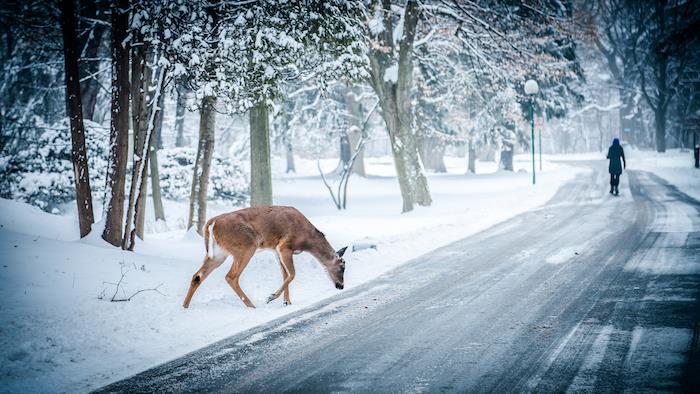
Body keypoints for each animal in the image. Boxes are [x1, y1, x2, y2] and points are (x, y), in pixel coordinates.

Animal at [182, 205, 348, 310]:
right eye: (342, 267)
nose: (341, 286)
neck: (307, 240)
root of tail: (212, 223)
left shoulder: (276, 250)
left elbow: (285, 275)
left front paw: (287, 302)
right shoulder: (284, 245)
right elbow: (292, 274)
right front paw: (271, 297)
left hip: (218, 254)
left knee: (197, 276)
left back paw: (185, 307)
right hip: (246, 246)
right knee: (231, 276)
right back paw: (252, 305)